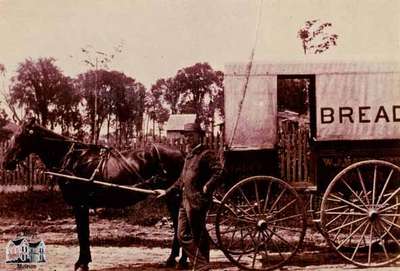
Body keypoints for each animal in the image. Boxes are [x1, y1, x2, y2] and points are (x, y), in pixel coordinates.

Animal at [2, 119, 188, 271]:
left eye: (21, 136)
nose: (6, 162)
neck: (72, 158)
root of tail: (182, 153)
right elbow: (83, 233)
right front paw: (85, 261)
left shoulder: (80, 205)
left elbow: (83, 233)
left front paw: (81, 263)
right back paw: (175, 259)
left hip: (174, 197)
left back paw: (178, 260)